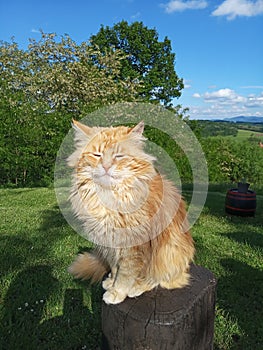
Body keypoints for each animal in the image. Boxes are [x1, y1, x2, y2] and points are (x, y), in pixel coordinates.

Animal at [68, 119, 196, 304]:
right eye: (97, 155)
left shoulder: (133, 247)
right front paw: (111, 283)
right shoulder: (110, 243)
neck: (110, 196)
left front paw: (117, 292)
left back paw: (137, 287)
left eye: (118, 156)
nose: (106, 166)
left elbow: (126, 274)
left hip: (169, 253)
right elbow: (115, 269)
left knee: (161, 279)